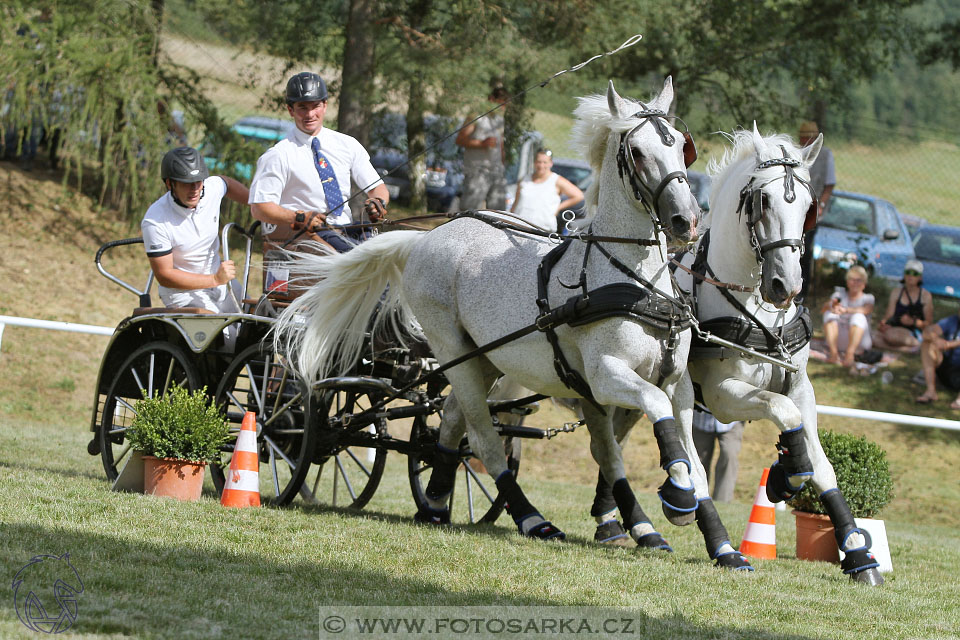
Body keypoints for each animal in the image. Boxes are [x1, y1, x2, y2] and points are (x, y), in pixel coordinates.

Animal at [278, 77, 704, 544]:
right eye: (638, 151)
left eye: (682, 145)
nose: (686, 220)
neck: (634, 282)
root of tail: (427, 236)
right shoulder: (605, 376)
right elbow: (653, 412)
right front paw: (678, 497)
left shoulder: (677, 382)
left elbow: (687, 453)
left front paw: (709, 533)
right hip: (452, 349)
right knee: (482, 437)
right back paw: (530, 518)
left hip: (484, 358)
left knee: (450, 420)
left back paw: (436, 499)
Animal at [592, 124, 884, 584]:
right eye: (762, 201)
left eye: (809, 206)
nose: (786, 286)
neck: (759, 312)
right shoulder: (723, 395)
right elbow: (782, 411)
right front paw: (787, 475)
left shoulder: (801, 386)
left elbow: (821, 463)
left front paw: (857, 552)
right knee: (606, 444)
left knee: (613, 443)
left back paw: (618, 523)